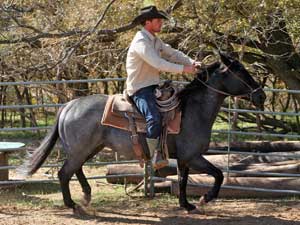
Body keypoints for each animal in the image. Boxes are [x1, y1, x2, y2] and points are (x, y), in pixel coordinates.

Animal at [22, 53, 266, 214]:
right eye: (241, 72)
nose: (261, 96)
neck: (192, 111)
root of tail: (68, 106)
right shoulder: (193, 156)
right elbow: (218, 174)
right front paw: (206, 198)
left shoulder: (184, 159)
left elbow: (184, 180)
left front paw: (186, 205)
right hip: (81, 150)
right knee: (64, 173)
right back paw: (72, 204)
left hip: (89, 148)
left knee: (76, 169)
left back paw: (86, 195)